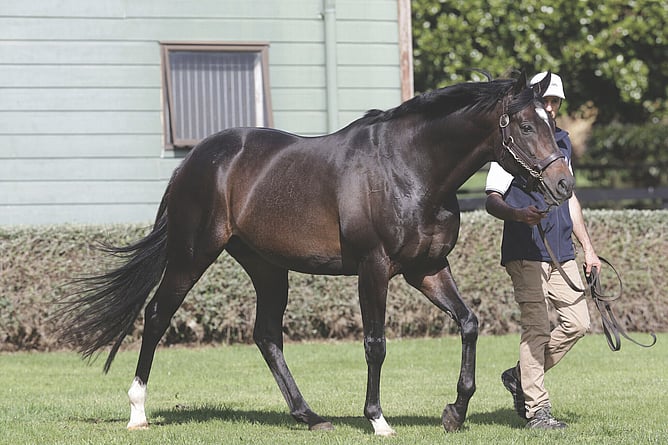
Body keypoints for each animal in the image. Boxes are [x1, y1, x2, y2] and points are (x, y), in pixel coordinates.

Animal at [54, 71, 574, 436]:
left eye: (551, 122)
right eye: (526, 125)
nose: (563, 184)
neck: (410, 168)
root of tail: (195, 160)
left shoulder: (426, 269)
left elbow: (468, 324)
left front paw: (454, 411)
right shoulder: (374, 269)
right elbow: (375, 343)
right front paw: (378, 420)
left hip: (267, 267)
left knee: (266, 335)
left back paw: (308, 415)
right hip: (191, 254)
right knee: (158, 315)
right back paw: (137, 411)